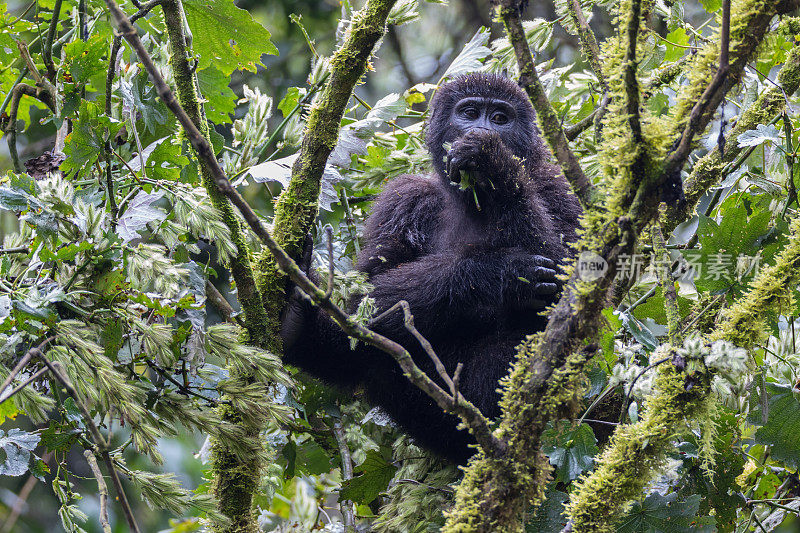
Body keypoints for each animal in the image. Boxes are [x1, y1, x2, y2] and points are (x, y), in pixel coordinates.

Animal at [282, 72, 580, 464]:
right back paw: (295, 313)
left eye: (501, 118)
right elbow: (365, 299)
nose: (484, 130)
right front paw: (497, 272)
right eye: (469, 113)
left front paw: (493, 162)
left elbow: (568, 281)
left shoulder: (559, 187)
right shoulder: (403, 198)